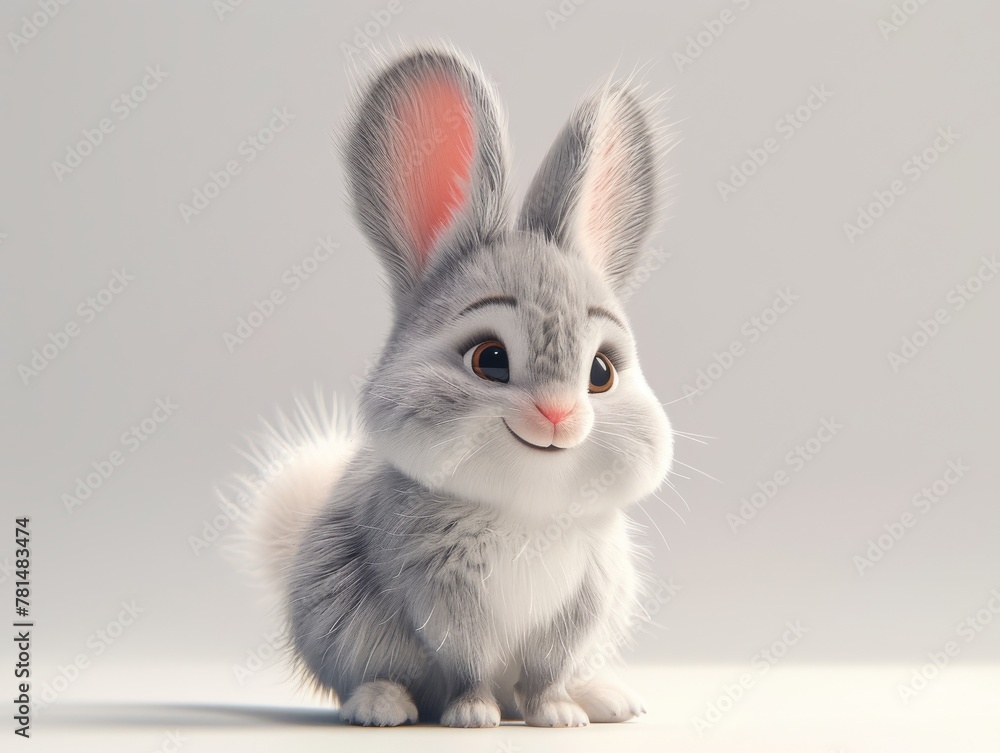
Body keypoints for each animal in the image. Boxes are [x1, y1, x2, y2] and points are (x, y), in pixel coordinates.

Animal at [241, 44, 674, 728]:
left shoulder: (583, 603)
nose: (558, 415)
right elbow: (467, 668)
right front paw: (473, 716)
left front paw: (559, 714)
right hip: (342, 622)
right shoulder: (444, 599)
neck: (527, 509)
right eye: (489, 360)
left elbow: (546, 674)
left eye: (601, 372)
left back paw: (604, 696)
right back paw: (382, 705)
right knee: (368, 676)